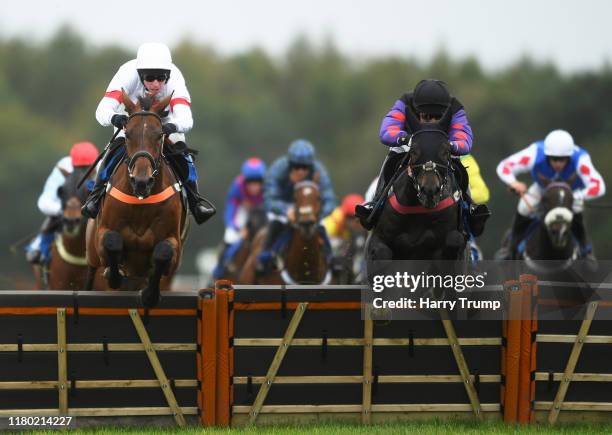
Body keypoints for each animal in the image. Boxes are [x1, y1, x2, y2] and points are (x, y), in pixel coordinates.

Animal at [86, 93, 186, 308]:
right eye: (128, 134)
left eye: (159, 135)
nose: (142, 181)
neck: (141, 202)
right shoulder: (102, 235)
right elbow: (112, 240)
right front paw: (114, 274)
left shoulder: (174, 247)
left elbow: (164, 252)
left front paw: (150, 294)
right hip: (91, 259)